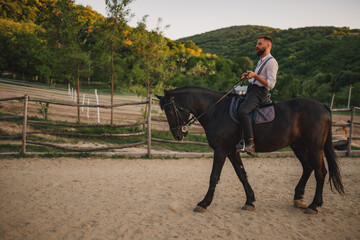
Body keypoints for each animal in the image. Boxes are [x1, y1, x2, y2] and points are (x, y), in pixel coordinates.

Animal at [156, 86, 344, 214]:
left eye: (170, 110)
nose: (178, 135)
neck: (217, 110)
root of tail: (323, 107)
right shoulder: (232, 151)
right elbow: (242, 174)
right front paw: (250, 200)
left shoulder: (220, 151)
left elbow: (214, 177)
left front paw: (203, 203)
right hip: (299, 146)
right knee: (307, 167)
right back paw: (298, 198)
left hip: (314, 148)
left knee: (320, 172)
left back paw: (314, 205)